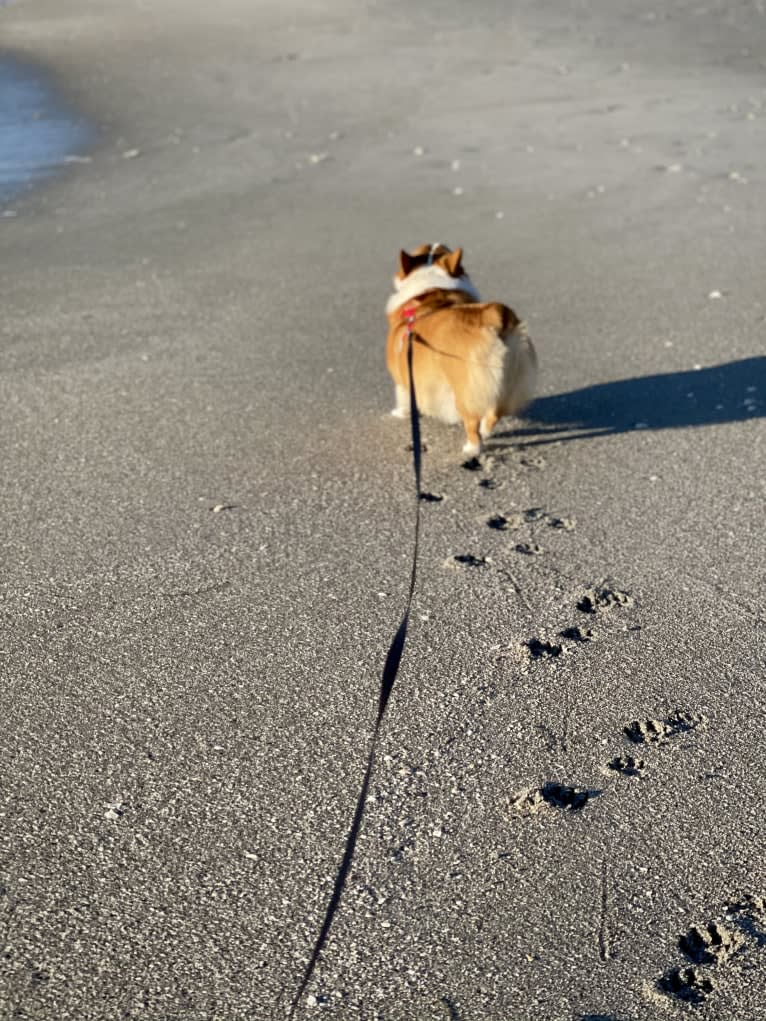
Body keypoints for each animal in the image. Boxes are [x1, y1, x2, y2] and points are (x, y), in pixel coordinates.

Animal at [384, 242, 539, 455]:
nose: (436, 242)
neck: (432, 289)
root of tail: (493, 315)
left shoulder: (403, 380)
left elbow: (403, 398)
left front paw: (399, 414)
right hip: (511, 377)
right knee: (494, 413)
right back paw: (486, 432)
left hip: (465, 391)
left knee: (472, 424)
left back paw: (470, 449)